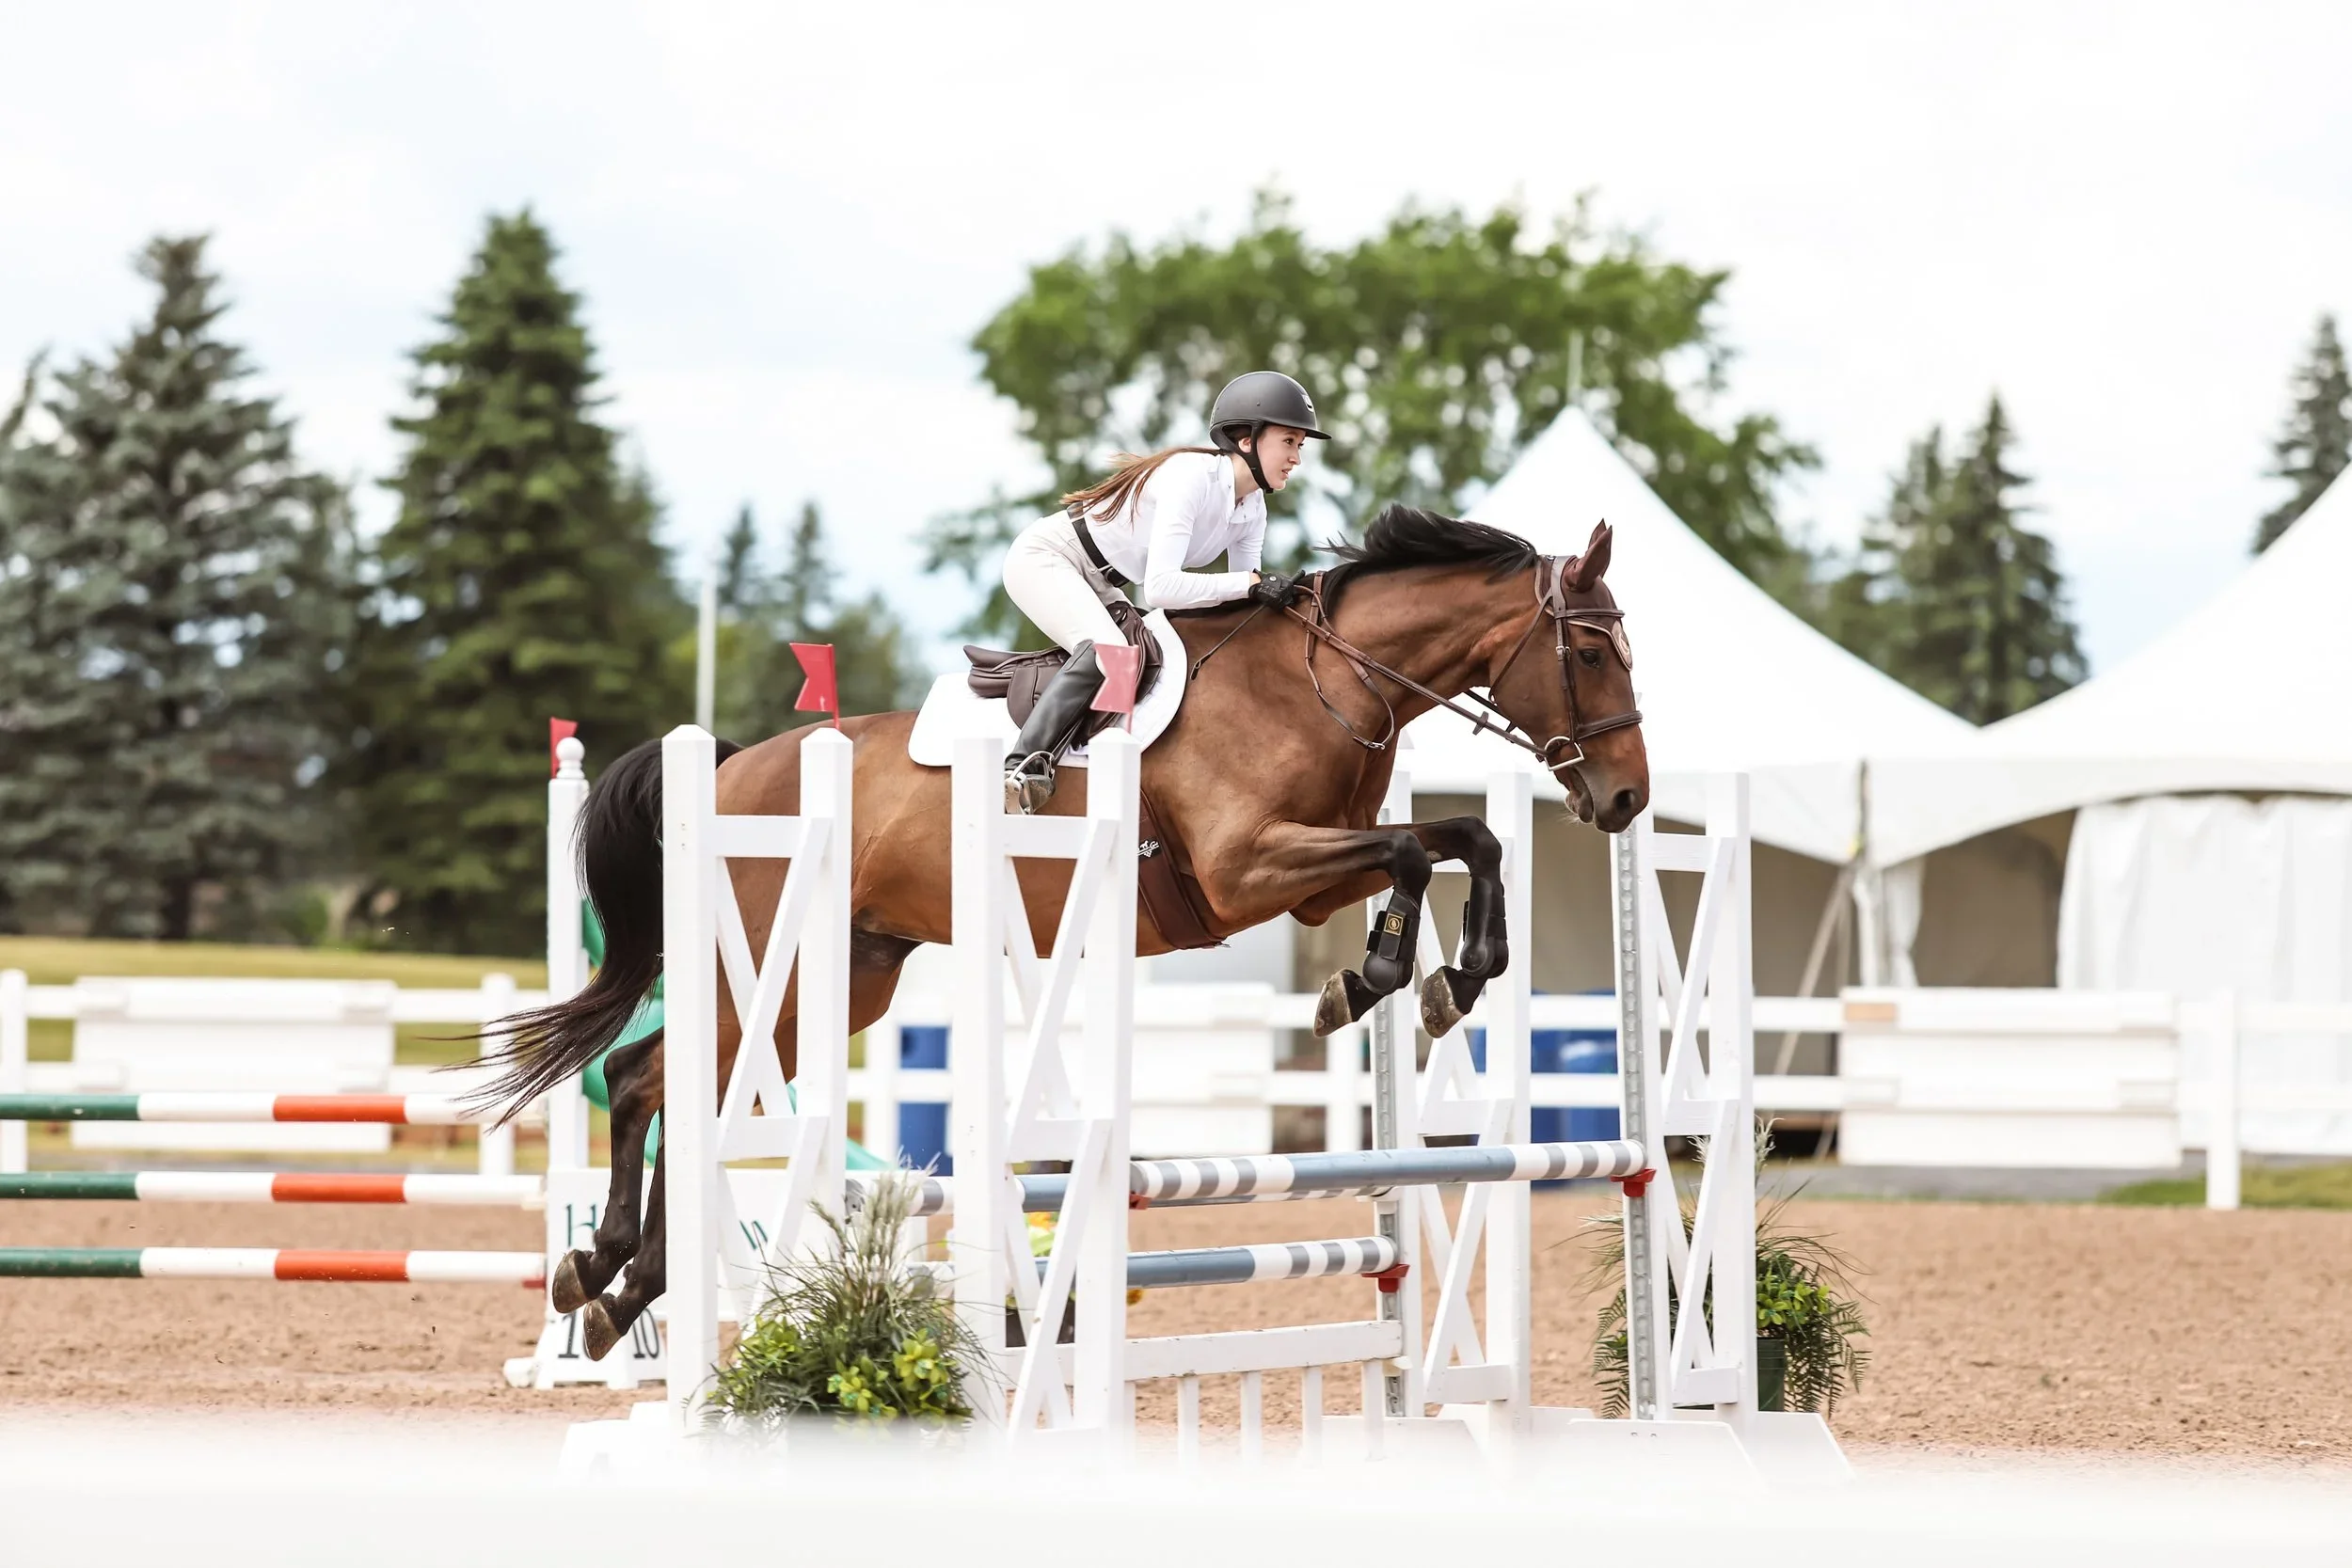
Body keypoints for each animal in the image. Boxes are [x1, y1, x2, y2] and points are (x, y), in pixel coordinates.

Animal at [486, 505, 1648, 1360]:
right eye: (1592, 650)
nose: (1628, 799)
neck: (1326, 681)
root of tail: (731, 766)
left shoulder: (1314, 876)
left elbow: (1466, 837)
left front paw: (1457, 978)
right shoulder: (1247, 868)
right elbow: (1415, 851)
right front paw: (1367, 982)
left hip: (839, 977)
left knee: (684, 1092)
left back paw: (616, 1289)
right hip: (767, 963)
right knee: (643, 1077)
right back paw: (604, 1270)